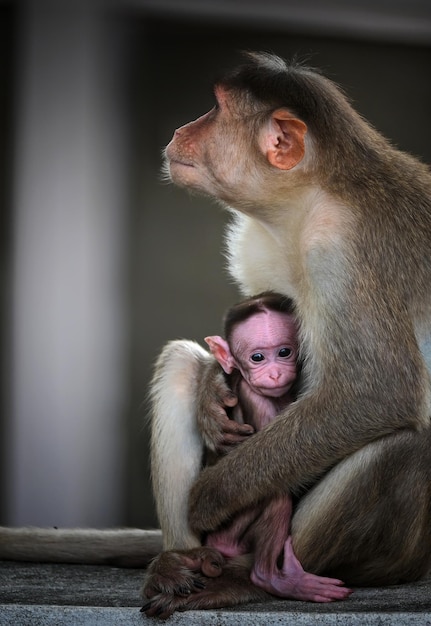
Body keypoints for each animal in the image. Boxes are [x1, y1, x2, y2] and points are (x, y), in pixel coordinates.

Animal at [201, 294, 350, 604]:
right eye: (257, 357)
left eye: (284, 352)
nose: (274, 373)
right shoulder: (257, 400)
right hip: (229, 532)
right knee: (276, 498)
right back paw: (270, 578)